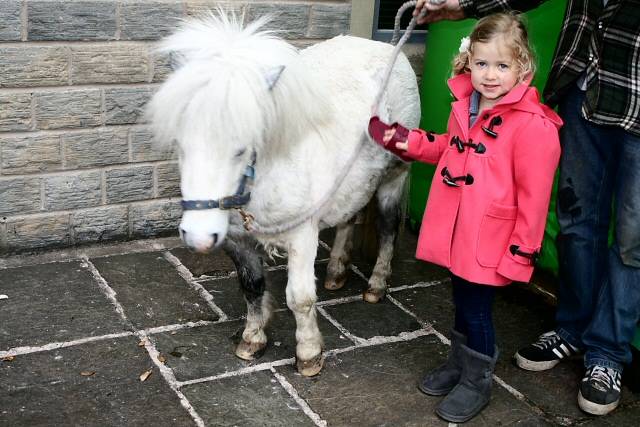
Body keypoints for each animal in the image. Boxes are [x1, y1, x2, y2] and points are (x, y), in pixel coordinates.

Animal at [148, 11, 422, 376]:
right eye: (180, 145)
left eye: (241, 148)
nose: (199, 237)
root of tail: (390, 47)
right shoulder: (237, 239)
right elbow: (251, 286)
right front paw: (252, 339)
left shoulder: (302, 236)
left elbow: (300, 298)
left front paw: (308, 354)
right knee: (347, 218)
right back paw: (336, 271)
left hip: (395, 175)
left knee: (388, 227)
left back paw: (376, 285)